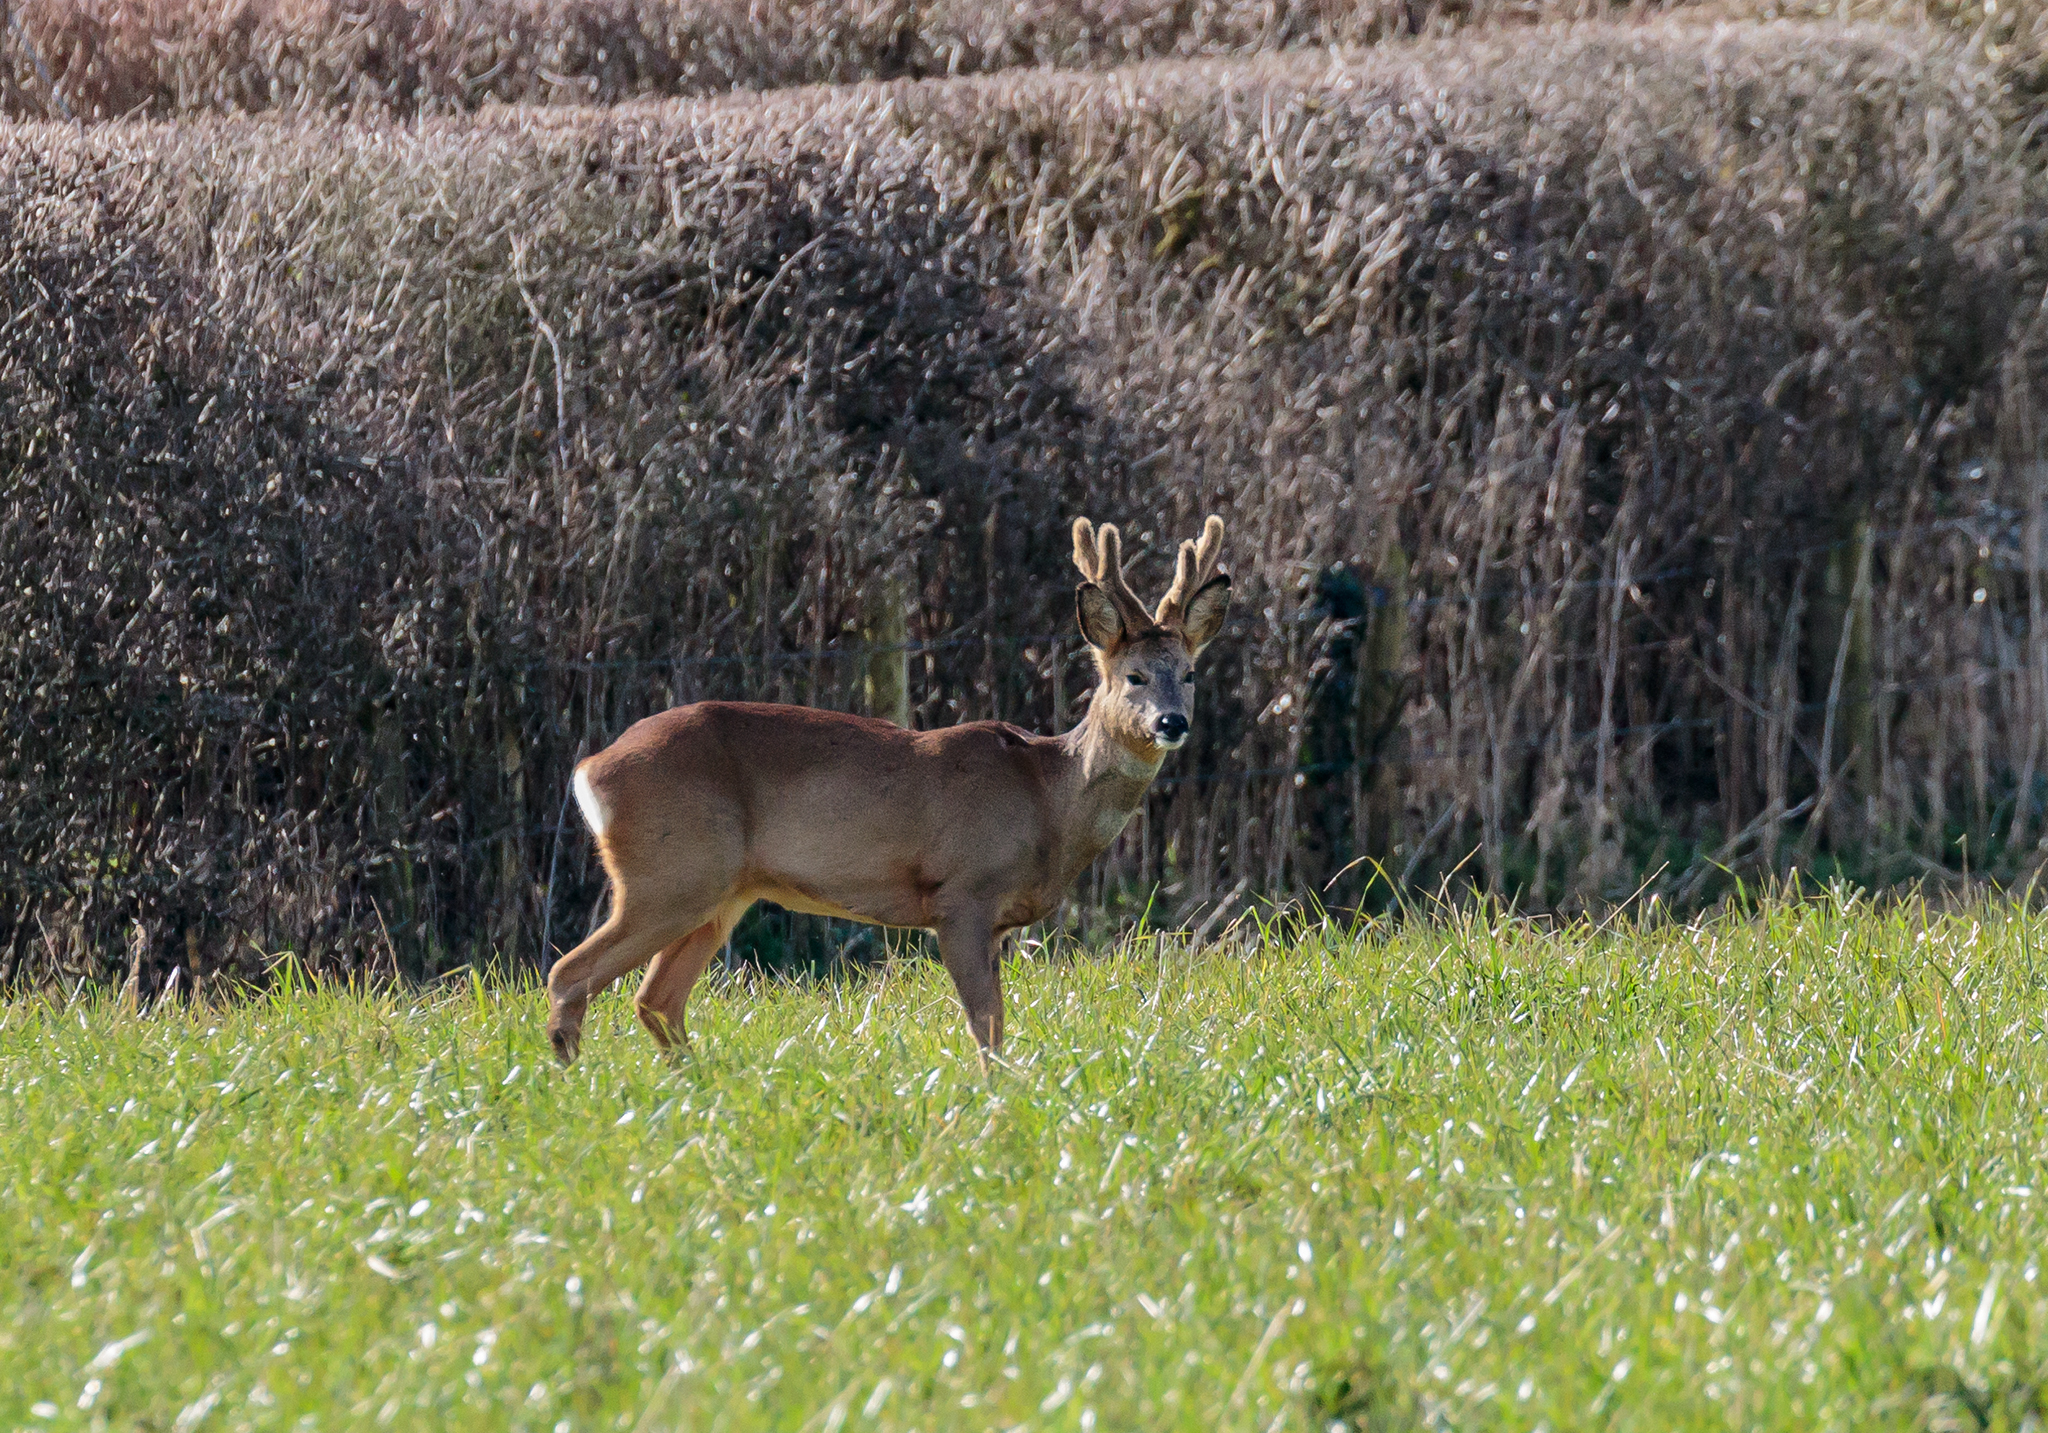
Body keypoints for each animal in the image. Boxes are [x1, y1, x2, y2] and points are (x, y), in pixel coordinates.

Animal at [542, 514, 1231, 1065]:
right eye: (1133, 675)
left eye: (1191, 674)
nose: (1172, 723)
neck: (1046, 799)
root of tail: (591, 769)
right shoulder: (961, 894)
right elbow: (985, 1027)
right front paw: (997, 1099)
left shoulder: (1000, 921)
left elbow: (996, 1022)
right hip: (668, 873)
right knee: (568, 974)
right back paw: (573, 1081)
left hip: (719, 892)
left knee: (655, 999)